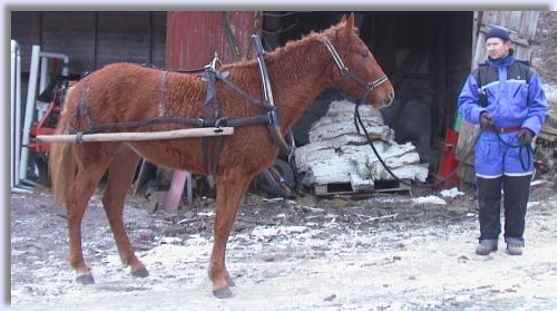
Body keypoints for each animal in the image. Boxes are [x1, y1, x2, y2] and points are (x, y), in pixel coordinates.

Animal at [48, 15, 396, 300]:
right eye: (363, 53)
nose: (389, 94)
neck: (260, 92)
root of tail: (81, 86)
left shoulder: (241, 177)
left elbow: (227, 225)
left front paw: (223, 276)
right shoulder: (232, 175)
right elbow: (221, 225)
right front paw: (218, 281)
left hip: (124, 156)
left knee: (112, 204)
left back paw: (135, 265)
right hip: (96, 159)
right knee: (77, 204)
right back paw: (82, 269)